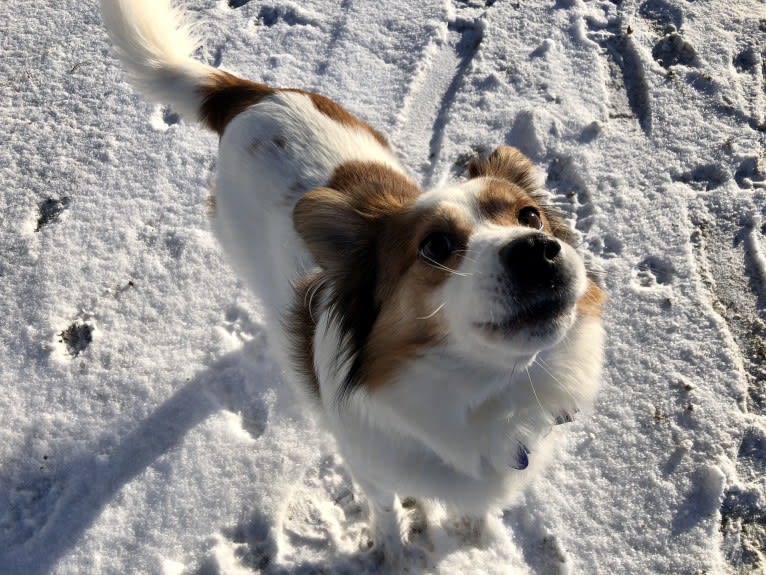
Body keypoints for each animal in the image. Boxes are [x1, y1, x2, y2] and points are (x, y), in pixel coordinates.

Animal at [100, 0, 608, 568]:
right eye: (435, 246)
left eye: (530, 216)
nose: (537, 250)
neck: (485, 395)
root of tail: (253, 94)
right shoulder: (370, 467)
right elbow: (386, 514)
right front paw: (395, 554)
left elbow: (472, 509)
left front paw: (473, 535)